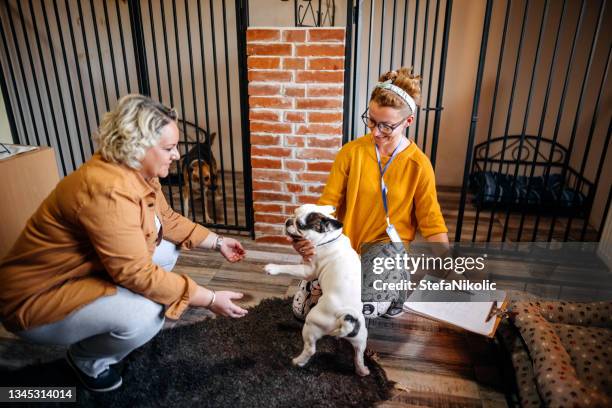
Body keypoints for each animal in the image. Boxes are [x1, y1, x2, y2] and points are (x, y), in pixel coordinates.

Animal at [262, 204, 368, 376]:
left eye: (300, 225)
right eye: (294, 213)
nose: (288, 221)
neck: (329, 238)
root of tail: (346, 316)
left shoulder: (308, 271)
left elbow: (290, 268)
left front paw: (273, 268)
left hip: (311, 326)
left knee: (310, 349)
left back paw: (298, 361)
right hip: (360, 337)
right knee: (359, 354)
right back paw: (362, 370)